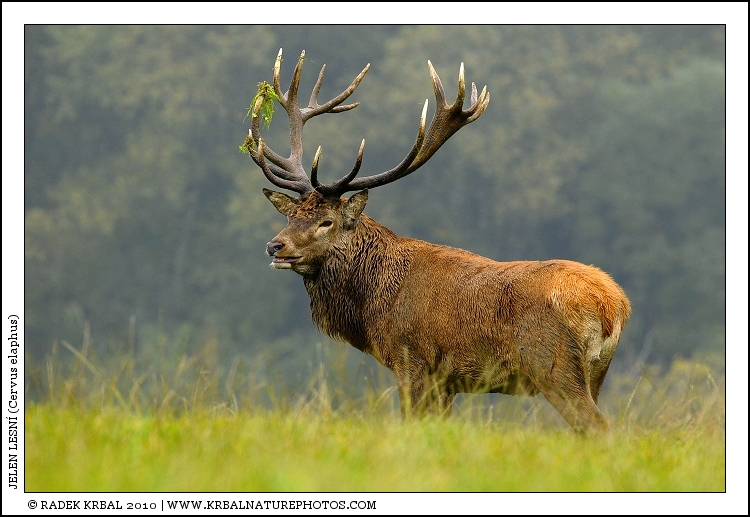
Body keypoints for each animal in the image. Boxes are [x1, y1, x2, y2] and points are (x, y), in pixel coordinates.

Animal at [242, 49, 631, 434]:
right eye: (290, 216)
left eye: (327, 221)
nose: (275, 246)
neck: (372, 305)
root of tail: (612, 305)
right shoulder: (447, 381)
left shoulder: (411, 359)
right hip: (595, 373)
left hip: (552, 365)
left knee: (599, 428)